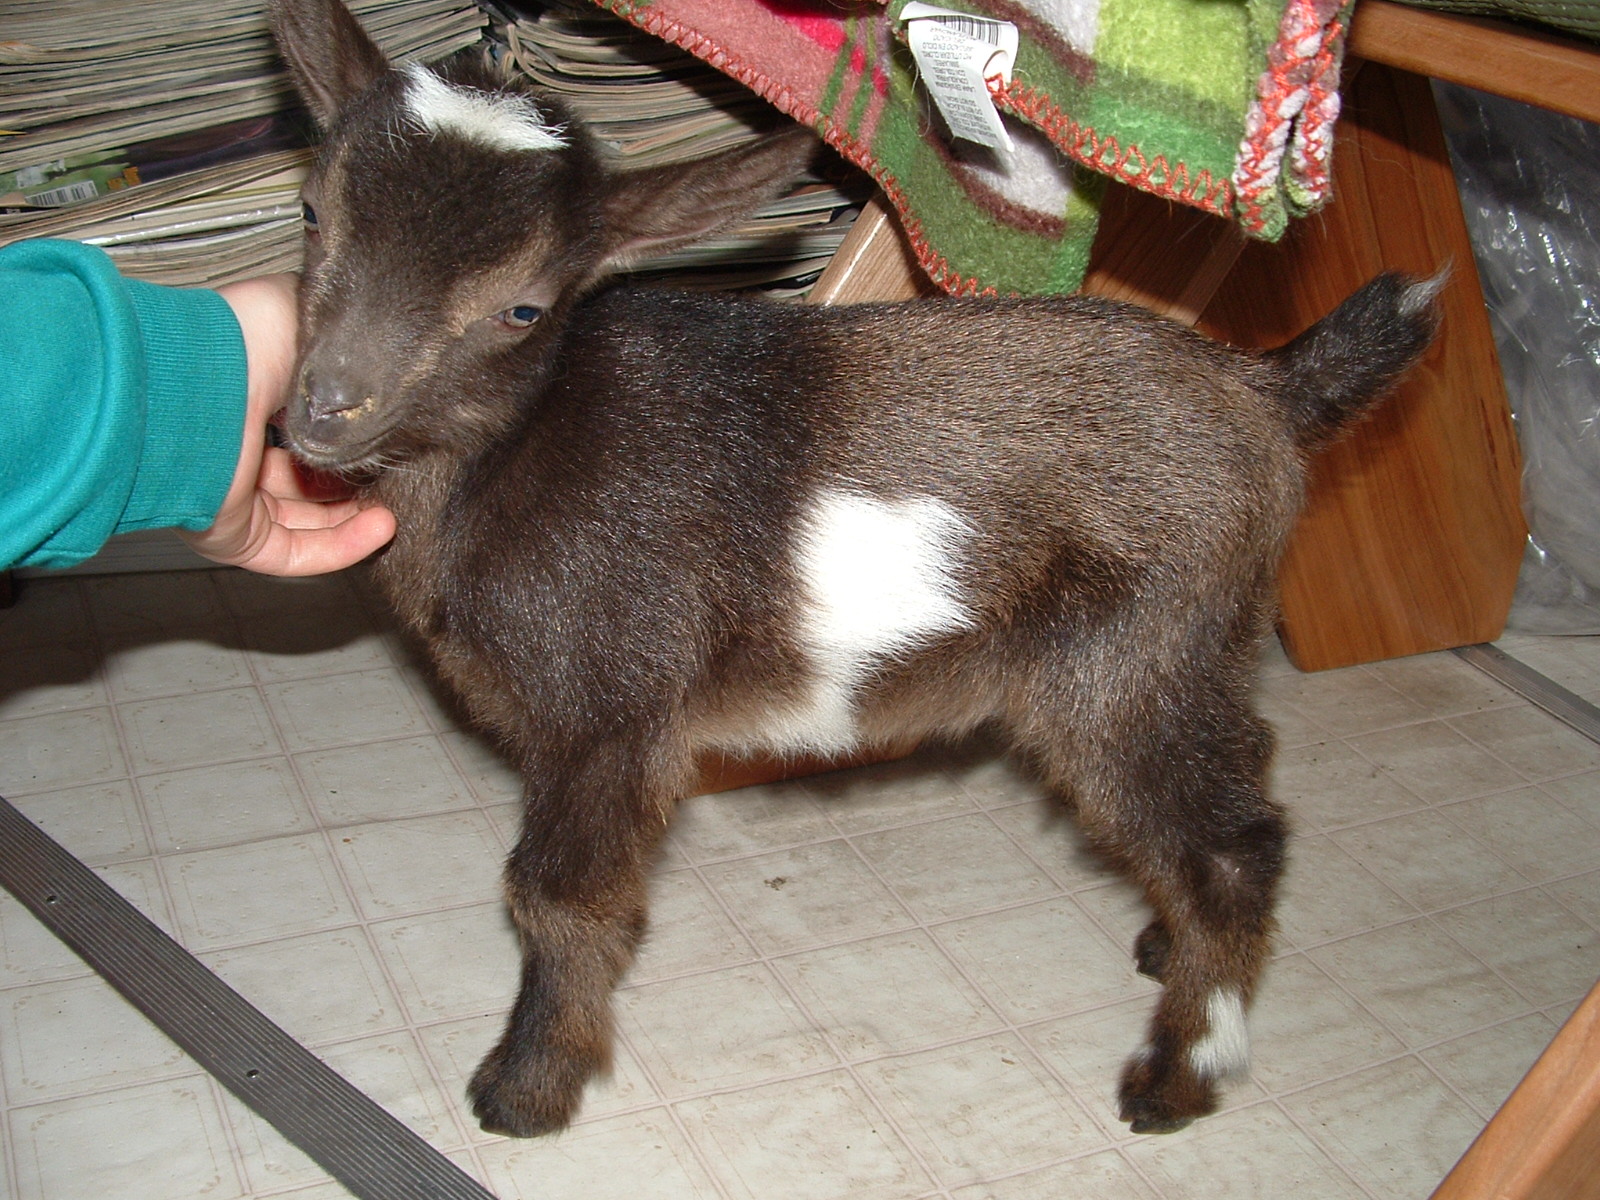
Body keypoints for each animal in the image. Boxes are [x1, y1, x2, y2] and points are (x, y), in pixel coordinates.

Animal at [268, 0, 1441, 1139]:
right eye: (314, 211)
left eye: (523, 306)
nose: (324, 412)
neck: (508, 452)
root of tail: (1270, 390)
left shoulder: (611, 712)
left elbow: (559, 900)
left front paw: (526, 1092)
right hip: (1205, 645)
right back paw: (1166, 947)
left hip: (1130, 658)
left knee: (1236, 845)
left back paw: (1176, 1078)